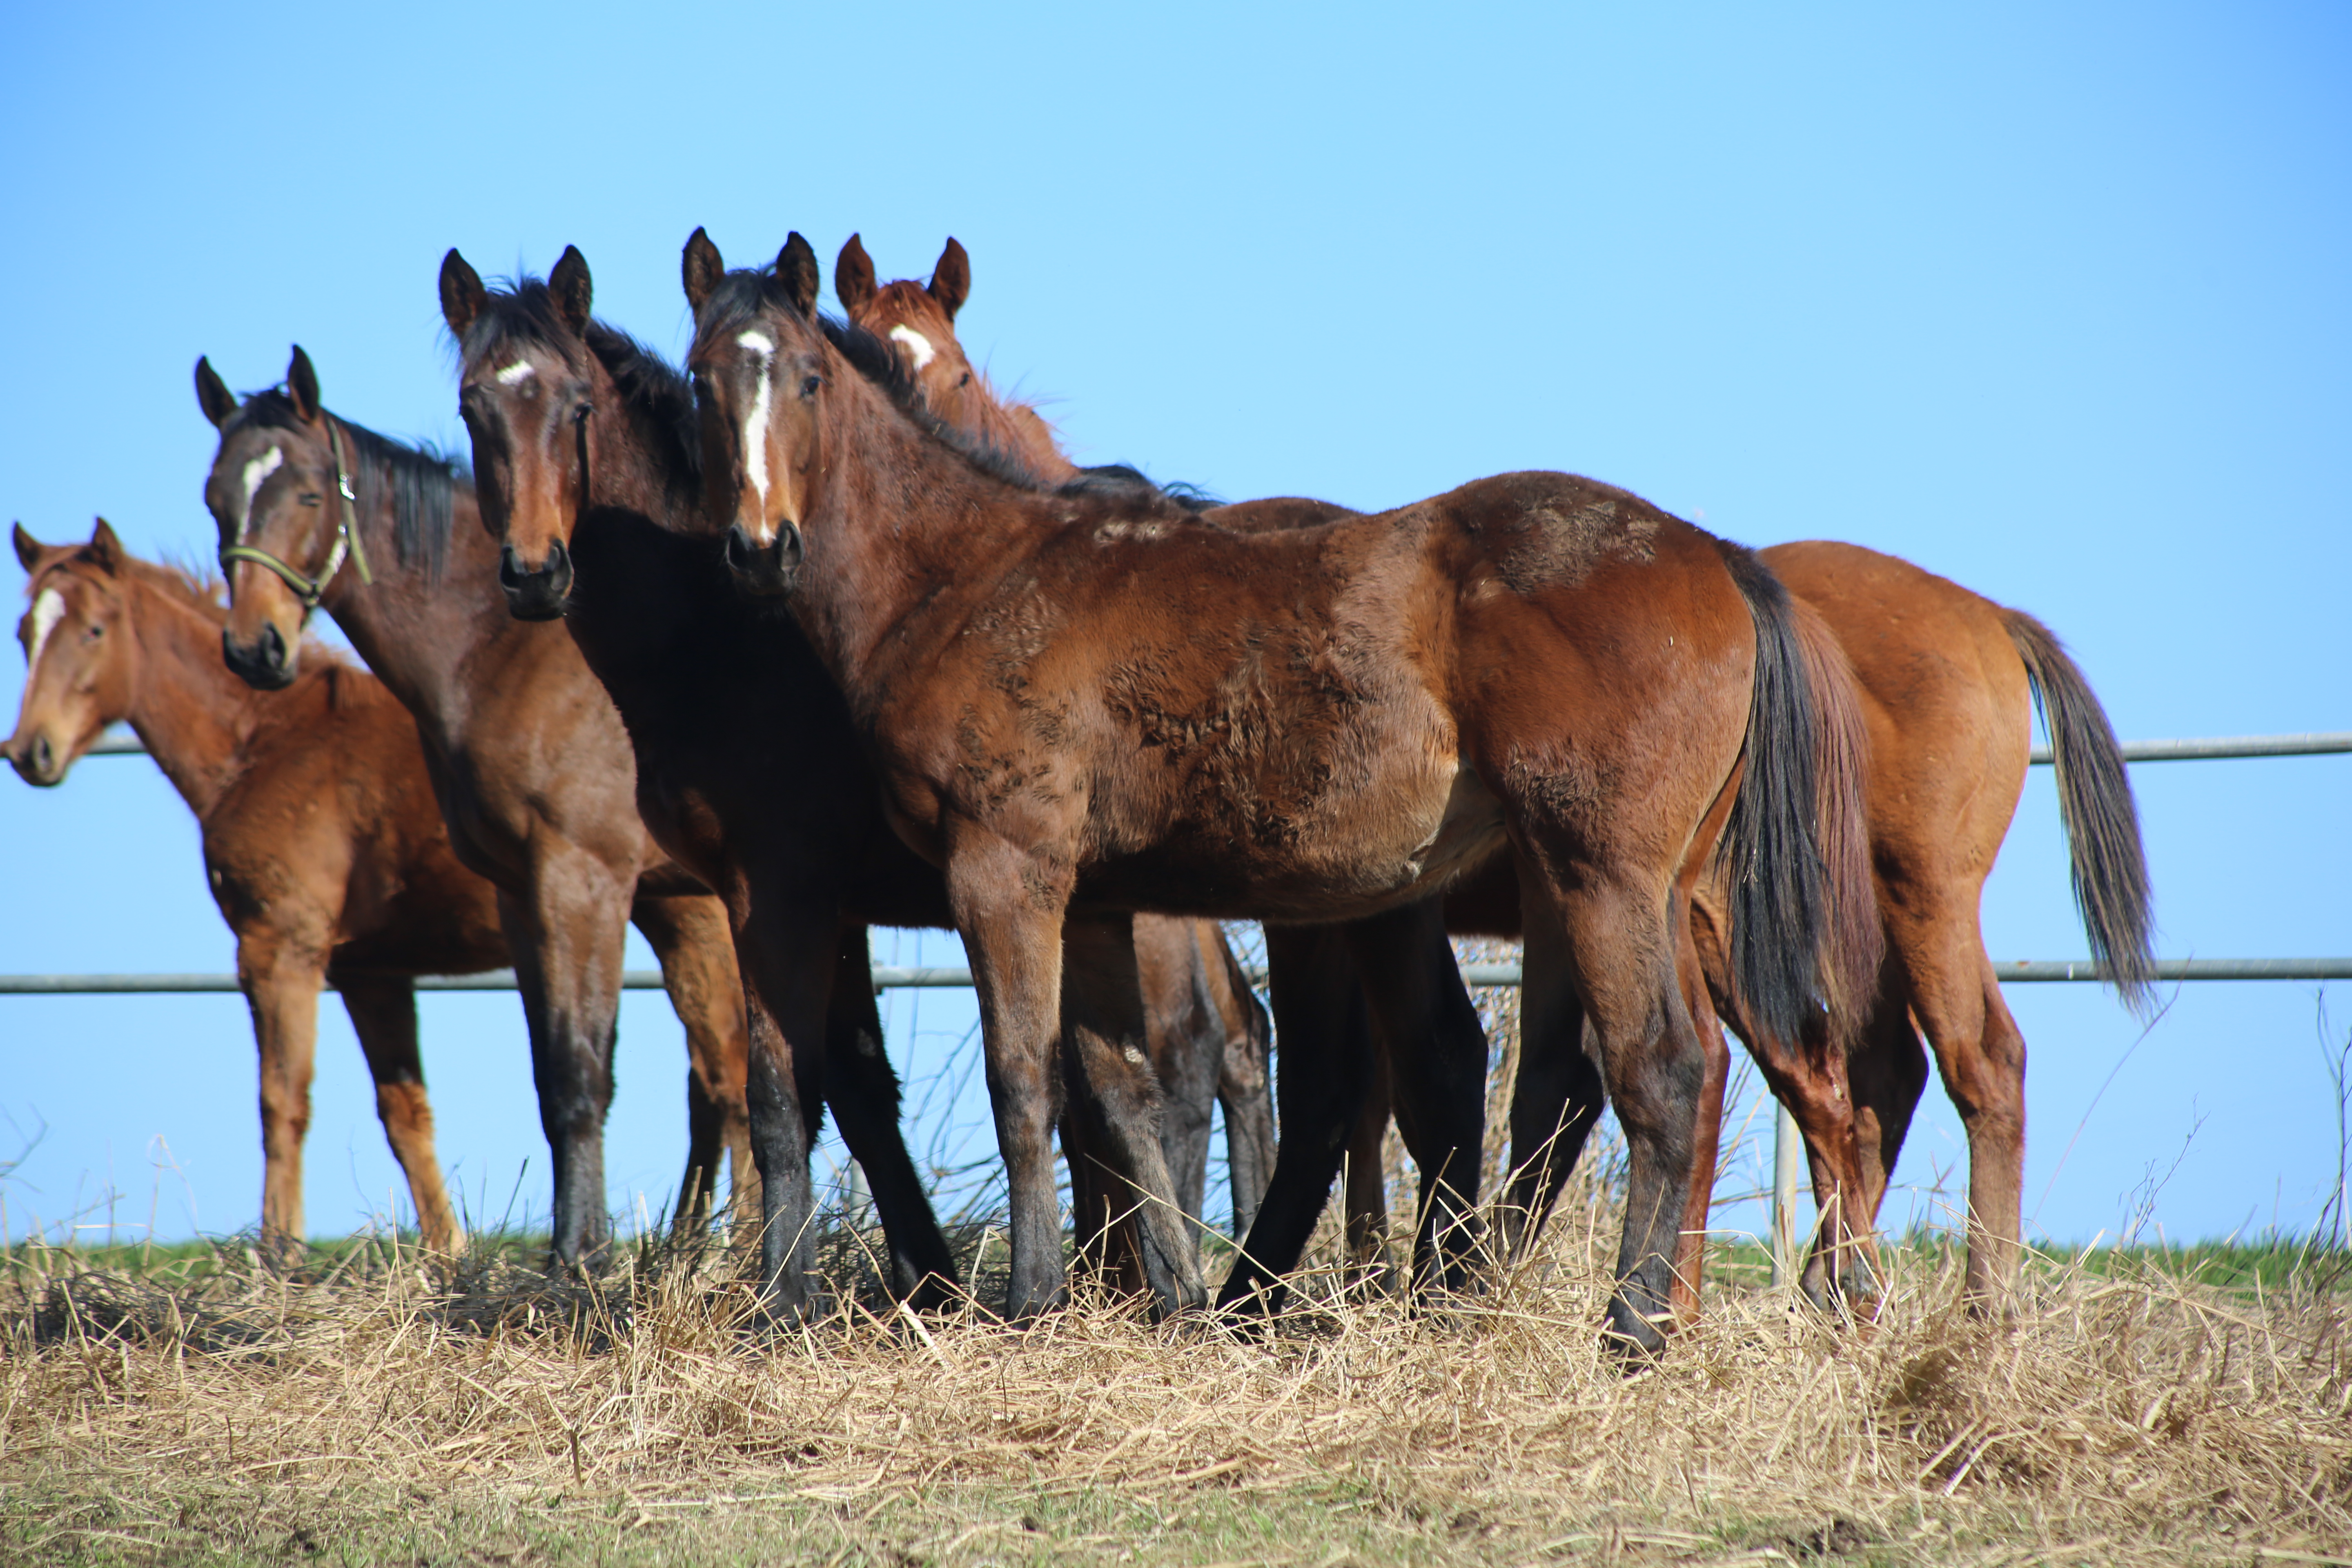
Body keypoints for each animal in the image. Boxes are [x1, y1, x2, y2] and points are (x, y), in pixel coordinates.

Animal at [9, 522, 501, 1260]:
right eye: (23, 633)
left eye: (94, 629)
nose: (29, 751)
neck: (269, 741)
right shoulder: (372, 971)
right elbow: (405, 1114)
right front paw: (449, 1258)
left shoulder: (278, 949)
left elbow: (282, 1100)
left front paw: (278, 1252)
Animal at [196, 352, 762, 1260]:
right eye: (216, 497)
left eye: (311, 496)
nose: (256, 648)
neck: (500, 654)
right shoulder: (523, 892)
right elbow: (552, 1073)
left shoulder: (580, 880)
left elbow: (584, 1068)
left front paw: (584, 1256)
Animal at [425, 252, 1270, 1316]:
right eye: (472, 407)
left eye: (576, 406)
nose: (535, 573)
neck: (723, 638)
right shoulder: (813, 902)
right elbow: (856, 1089)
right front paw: (920, 1280)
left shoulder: (775, 887)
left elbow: (786, 1089)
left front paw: (784, 1297)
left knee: (1189, 1056)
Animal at [677, 232, 1872, 1354]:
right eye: (702, 378)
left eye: (810, 380)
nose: (759, 547)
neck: (969, 577)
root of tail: (1714, 555)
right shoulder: (1098, 902)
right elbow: (1121, 1093)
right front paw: (1164, 1302)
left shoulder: (1005, 872)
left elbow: (1023, 1084)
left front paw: (1029, 1306)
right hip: (1645, 888)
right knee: (1654, 1071)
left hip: (1600, 877)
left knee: (1656, 1070)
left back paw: (1626, 1327)